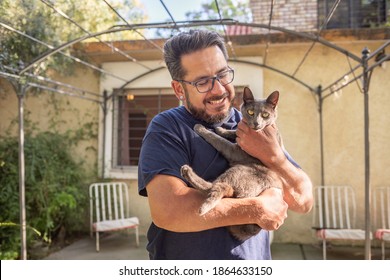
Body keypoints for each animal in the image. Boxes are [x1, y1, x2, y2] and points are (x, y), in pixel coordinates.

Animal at [180, 87, 284, 241]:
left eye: (265, 114)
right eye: (250, 112)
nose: (257, 124)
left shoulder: (236, 151)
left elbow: (219, 140)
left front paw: (202, 129)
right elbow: (234, 131)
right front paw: (222, 129)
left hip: (239, 170)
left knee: (216, 187)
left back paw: (187, 172)